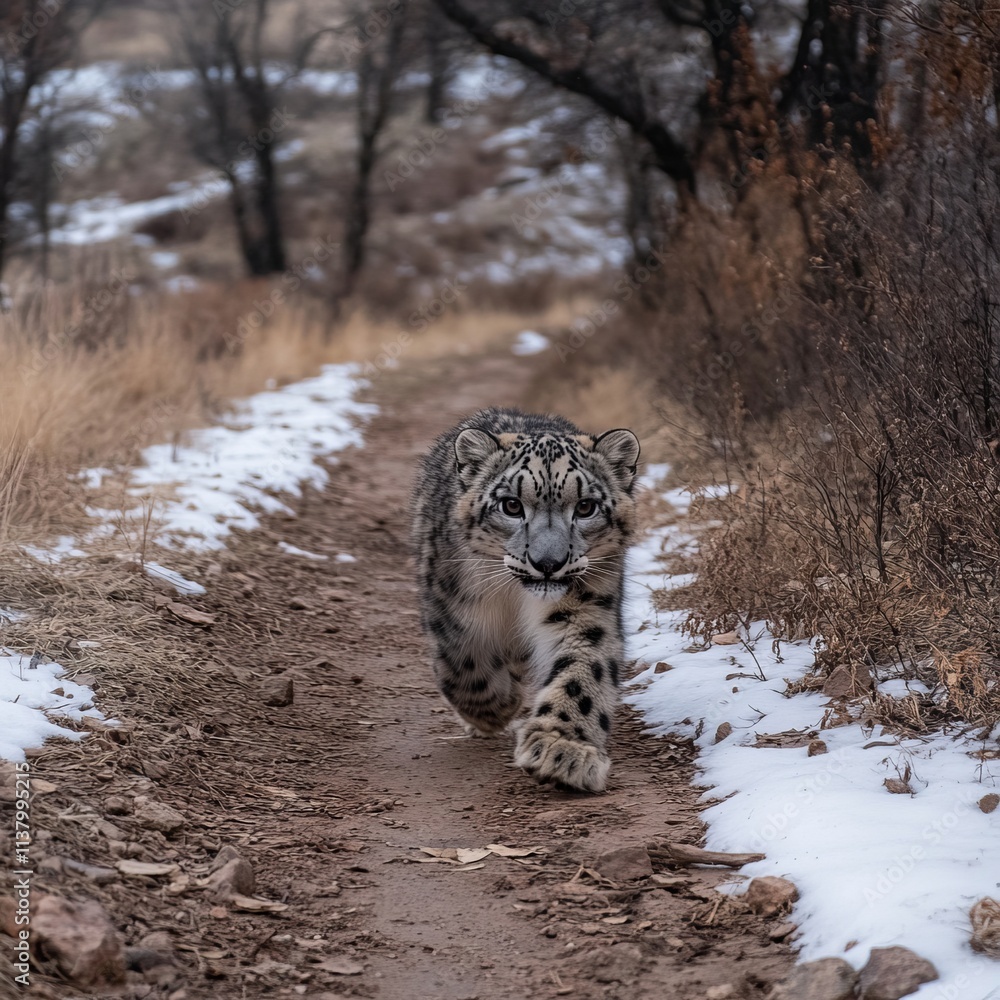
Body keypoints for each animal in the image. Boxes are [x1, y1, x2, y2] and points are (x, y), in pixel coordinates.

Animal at [410, 407, 640, 792]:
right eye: (511, 505)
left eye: (586, 507)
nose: (548, 563)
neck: (514, 600)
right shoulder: (453, 605)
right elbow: (464, 660)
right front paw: (492, 710)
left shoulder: (588, 603)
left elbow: (582, 670)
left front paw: (562, 751)